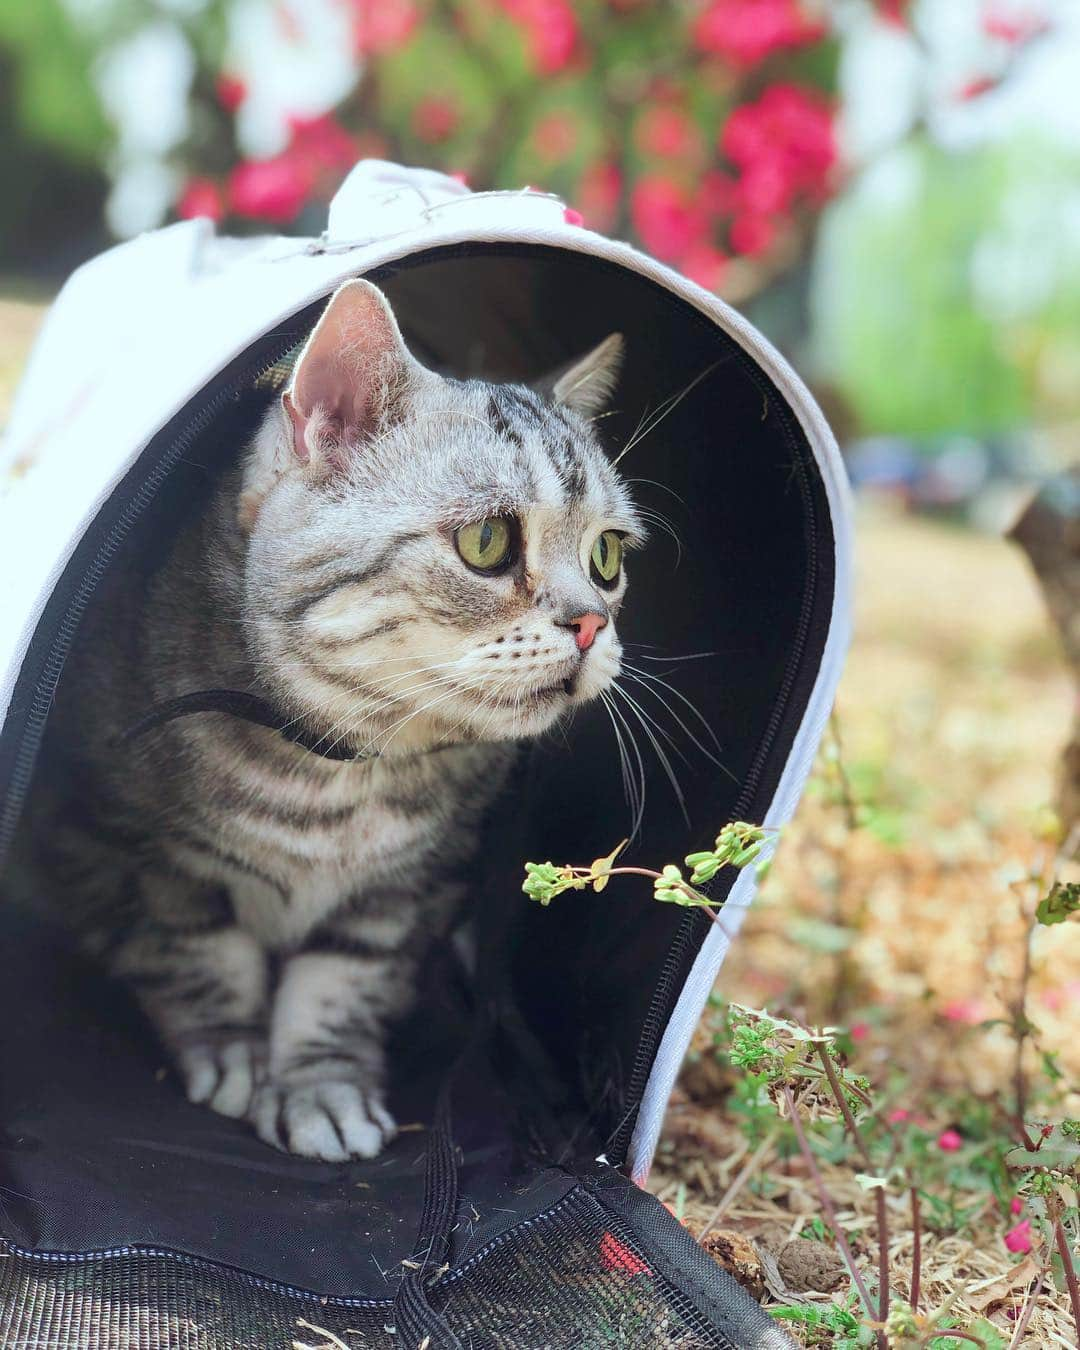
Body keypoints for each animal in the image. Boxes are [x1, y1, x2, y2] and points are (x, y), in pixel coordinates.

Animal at [23, 276, 642, 1161]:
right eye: (488, 540)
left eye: (607, 558)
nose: (592, 622)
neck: (342, 770)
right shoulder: (119, 845)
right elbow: (197, 952)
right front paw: (234, 1055)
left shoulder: (409, 890)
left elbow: (342, 983)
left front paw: (322, 1086)